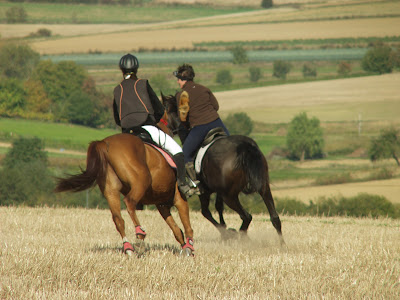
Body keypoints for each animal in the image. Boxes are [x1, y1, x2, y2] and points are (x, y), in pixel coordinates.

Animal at [54, 132, 195, 256]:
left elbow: (177, 230)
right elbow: (187, 226)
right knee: (129, 202)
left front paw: (185, 248)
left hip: (110, 190)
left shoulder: (162, 206)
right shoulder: (178, 200)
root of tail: (104, 142)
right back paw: (140, 234)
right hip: (142, 181)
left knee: (118, 218)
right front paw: (189, 248)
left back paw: (128, 248)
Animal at [161, 94, 286, 246]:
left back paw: (239, 236)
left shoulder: (205, 192)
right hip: (263, 187)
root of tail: (245, 147)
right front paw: (224, 228)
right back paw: (281, 245)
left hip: (230, 196)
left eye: (164, 109)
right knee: (274, 217)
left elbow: (206, 212)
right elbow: (218, 207)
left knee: (247, 216)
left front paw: (225, 232)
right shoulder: (218, 191)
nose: (166, 131)